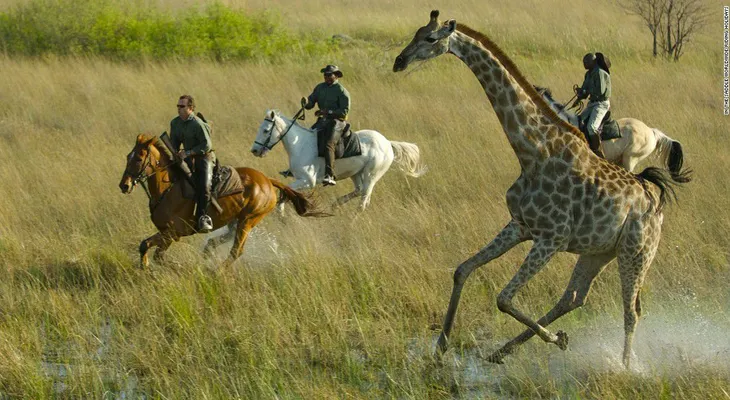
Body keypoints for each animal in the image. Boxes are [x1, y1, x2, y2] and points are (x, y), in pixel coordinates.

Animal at [119, 134, 325, 268]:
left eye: (138, 158)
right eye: (128, 156)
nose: (124, 185)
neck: (168, 189)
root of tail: (267, 180)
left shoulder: (172, 233)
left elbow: (155, 253)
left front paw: (175, 266)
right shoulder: (166, 233)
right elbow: (147, 247)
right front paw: (146, 266)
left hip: (248, 220)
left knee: (236, 251)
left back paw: (216, 271)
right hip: (237, 220)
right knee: (223, 241)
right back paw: (207, 253)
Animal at [250, 109, 427, 210]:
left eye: (266, 130)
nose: (254, 150)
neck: (300, 144)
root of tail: (388, 143)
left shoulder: (307, 181)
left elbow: (287, 190)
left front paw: (280, 212)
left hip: (371, 176)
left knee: (363, 200)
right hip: (355, 173)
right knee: (358, 191)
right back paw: (335, 205)